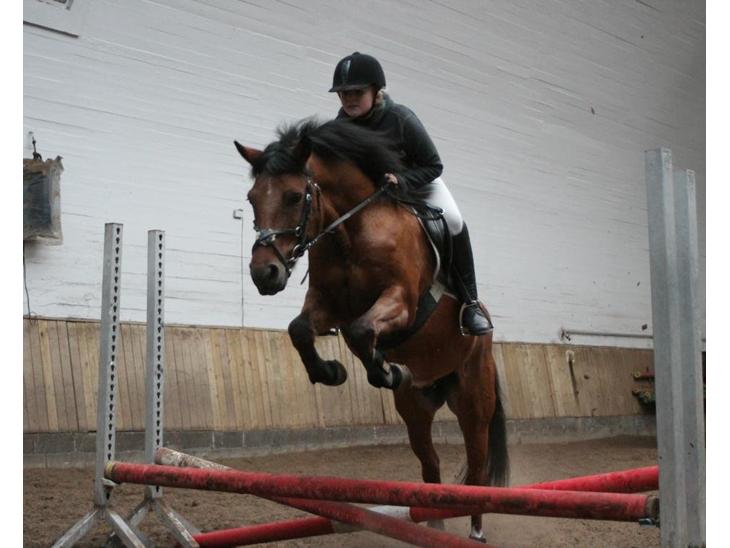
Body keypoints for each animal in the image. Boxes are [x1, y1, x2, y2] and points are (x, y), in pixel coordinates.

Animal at [234, 118, 508, 541]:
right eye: (251, 199)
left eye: (295, 196)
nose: (265, 274)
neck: (352, 229)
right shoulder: (326, 304)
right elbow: (301, 330)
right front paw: (331, 371)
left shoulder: (402, 301)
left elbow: (360, 331)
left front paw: (384, 369)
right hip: (415, 408)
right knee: (430, 466)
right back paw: (433, 524)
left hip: (473, 400)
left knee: (477, 468)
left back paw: (475, 532)